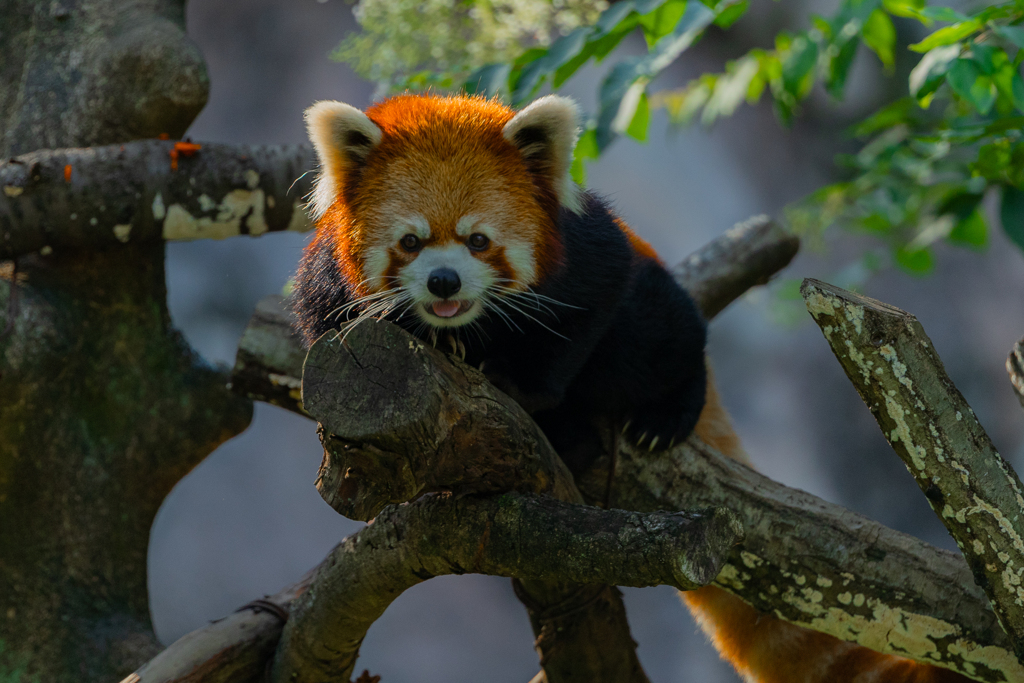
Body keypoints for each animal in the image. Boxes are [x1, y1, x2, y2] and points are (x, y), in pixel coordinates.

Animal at [292, 92, 970, 683]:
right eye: (410, 241)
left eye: (478, 240)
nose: (442, 281)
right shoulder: (328, 293)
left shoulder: (590, 253)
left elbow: (587, 310)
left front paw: (519, 385)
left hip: (649, 323)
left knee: (660, 336)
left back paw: (648, 417)